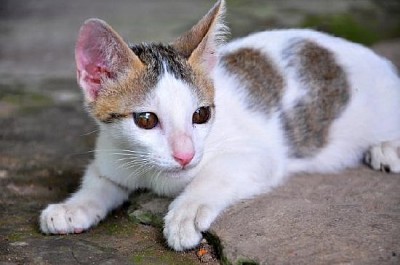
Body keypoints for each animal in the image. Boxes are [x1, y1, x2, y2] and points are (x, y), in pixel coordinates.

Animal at [39, 0, 400, 251]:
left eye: (201, 115)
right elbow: (99, 180)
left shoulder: (259, 155)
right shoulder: (112, 153)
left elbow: (214, 175)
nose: (185, 155)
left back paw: (387, 149)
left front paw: (186, 212)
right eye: (146, 120)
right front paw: (74, 206)